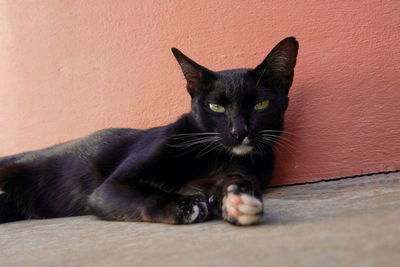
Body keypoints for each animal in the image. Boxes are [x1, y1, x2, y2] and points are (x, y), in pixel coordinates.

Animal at [0, 37, 296, 226]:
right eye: (216, 106)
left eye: (260, 104)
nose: (239, 131)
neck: (215, 156)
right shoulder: (111, 188)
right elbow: (145, 194)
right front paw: (184, 206)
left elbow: (231, 181)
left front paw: (238, 200)